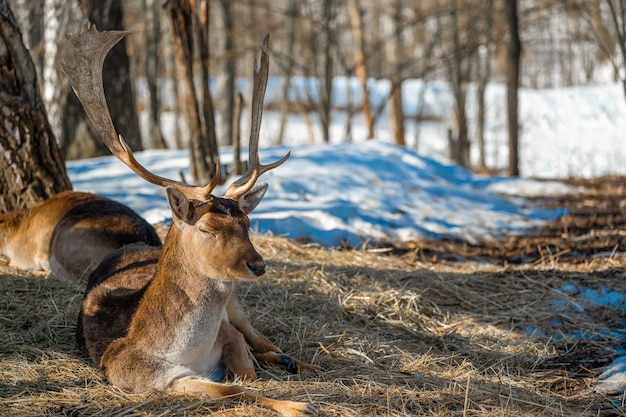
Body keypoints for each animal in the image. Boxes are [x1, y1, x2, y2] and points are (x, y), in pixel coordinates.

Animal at [63, 23, 320, 416]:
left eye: (247, 223)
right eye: (207, 228)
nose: (258, 265)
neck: (185, 353)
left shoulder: (229, 333)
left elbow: (248, 372)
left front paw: (292, 393)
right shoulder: (142, 373)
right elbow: (234, 390)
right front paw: (299, 406)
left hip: (238, 307)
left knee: (266, 342)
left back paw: (299, 361)